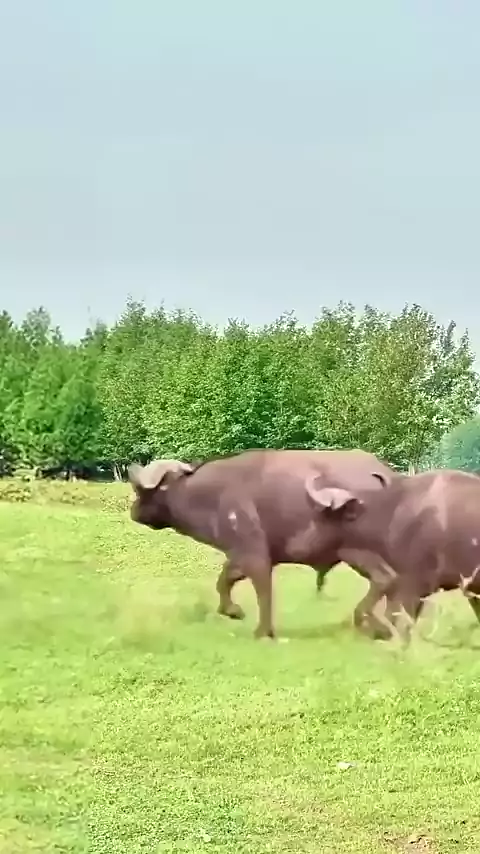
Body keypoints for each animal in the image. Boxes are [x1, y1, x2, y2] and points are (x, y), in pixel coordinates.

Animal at [126, 448, 395, 639]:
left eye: (140, 490)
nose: (133, 511)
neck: (213, 495)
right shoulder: (238, 555)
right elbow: (224, 581)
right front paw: (233, 611)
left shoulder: (255, 556)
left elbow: (262, 593)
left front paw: (261, 631)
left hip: (357, 550)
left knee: (385, 578)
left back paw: (372, 623)